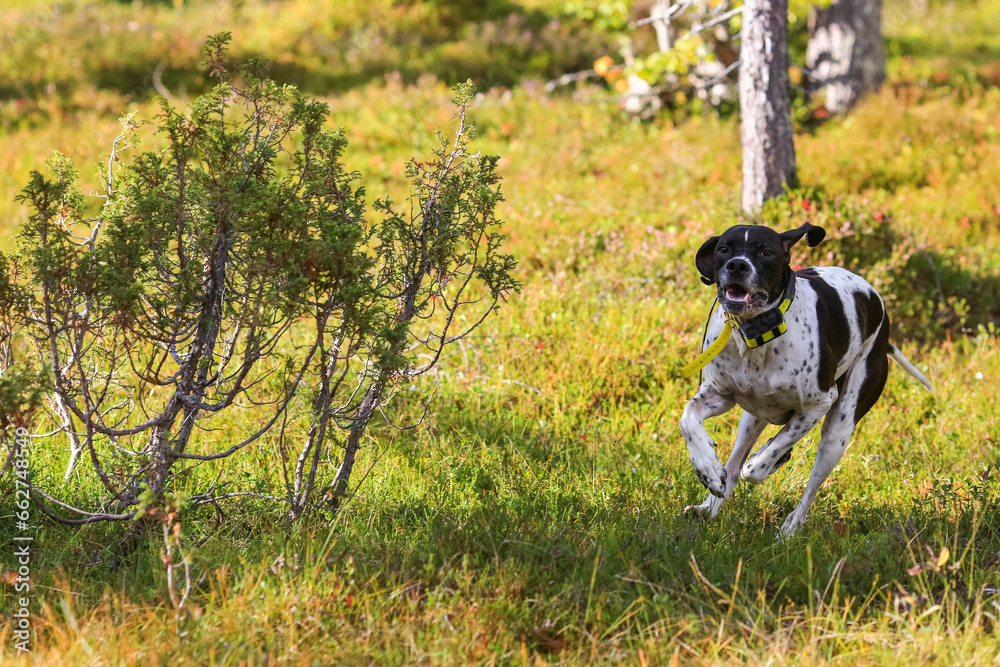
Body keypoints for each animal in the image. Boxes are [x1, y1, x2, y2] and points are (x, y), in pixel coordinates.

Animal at [676, 224, 932, 536]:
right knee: (735, 467)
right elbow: (688, 417)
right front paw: (707, 468)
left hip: (839, 429)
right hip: (752, 418)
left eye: (766, 252)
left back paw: (792, 524)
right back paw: (709, 507)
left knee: (805, 483)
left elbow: (760, 464)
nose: (737, 265)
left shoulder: (818, 405)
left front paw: (764, 461)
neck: (756, 334)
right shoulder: (719, 395)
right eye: (724, 248)